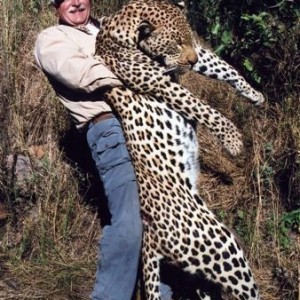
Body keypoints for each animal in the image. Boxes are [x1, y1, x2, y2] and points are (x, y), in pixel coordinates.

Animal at [92, 0, 262, 298]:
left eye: (190, 39)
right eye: (174, 42)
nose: (190, 61)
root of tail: (148, 236)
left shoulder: (191, 59)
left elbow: (223, 68)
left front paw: (253, 94)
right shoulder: (160, 82)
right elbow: (202, 107)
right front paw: (232, 140)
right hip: (219, 244)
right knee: (246, 289)